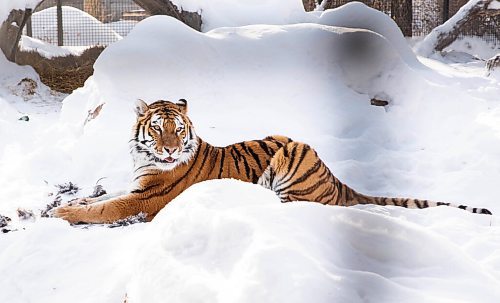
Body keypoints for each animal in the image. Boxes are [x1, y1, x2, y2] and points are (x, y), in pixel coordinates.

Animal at [53, 98, 488, 224]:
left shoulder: (146, 197)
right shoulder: (135, 185)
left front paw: (62, 213)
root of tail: (336, 178)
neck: (145, 162)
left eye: (178, 130)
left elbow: (107, 207)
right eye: (158, 129)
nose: (171, 151)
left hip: (293, 153)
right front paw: (70, 201)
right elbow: (101, 197)